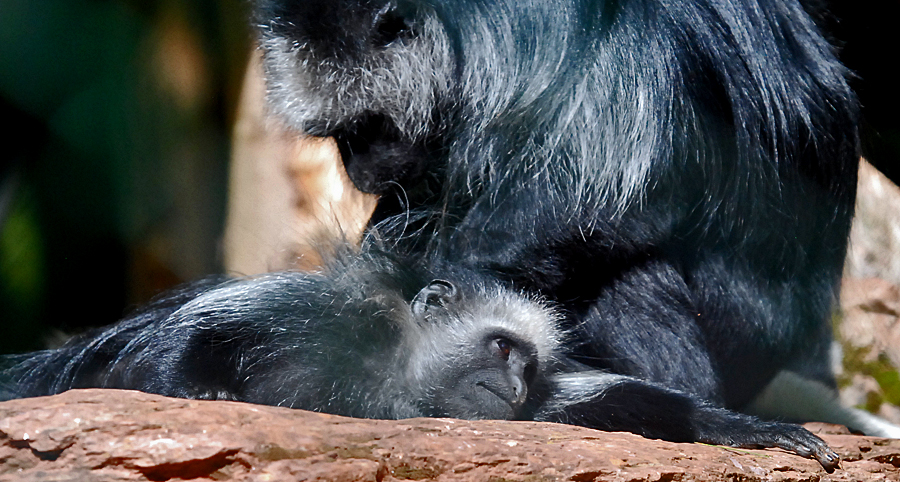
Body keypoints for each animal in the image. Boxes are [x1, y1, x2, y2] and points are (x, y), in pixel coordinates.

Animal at [0, 247, 840, 470]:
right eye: (501, 348)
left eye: (528, 369)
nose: (511, 386)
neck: (400, 378)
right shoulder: (338, 316)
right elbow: (197, 334)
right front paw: (192, 394)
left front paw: (744, 428)